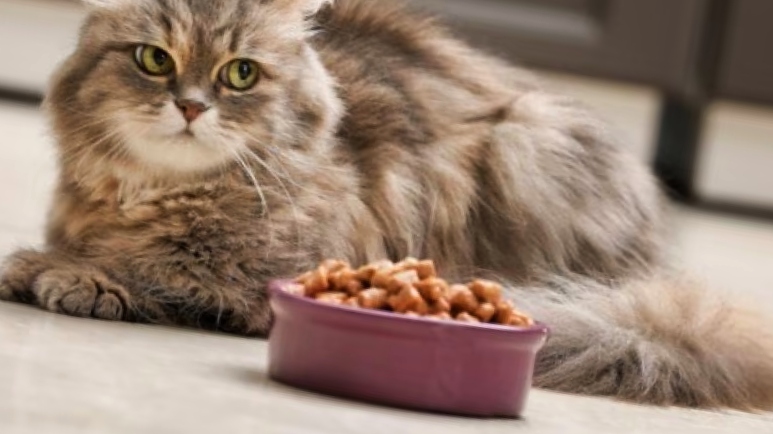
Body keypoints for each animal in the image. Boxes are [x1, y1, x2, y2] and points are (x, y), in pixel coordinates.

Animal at [1, 0, 772, 410]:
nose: (190, 107)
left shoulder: (255, 278)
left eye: (240, 74)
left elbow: (155, 269)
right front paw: (45, 262)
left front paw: (67, 273)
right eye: (154, 60)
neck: (157, 193)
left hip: (525, 144)